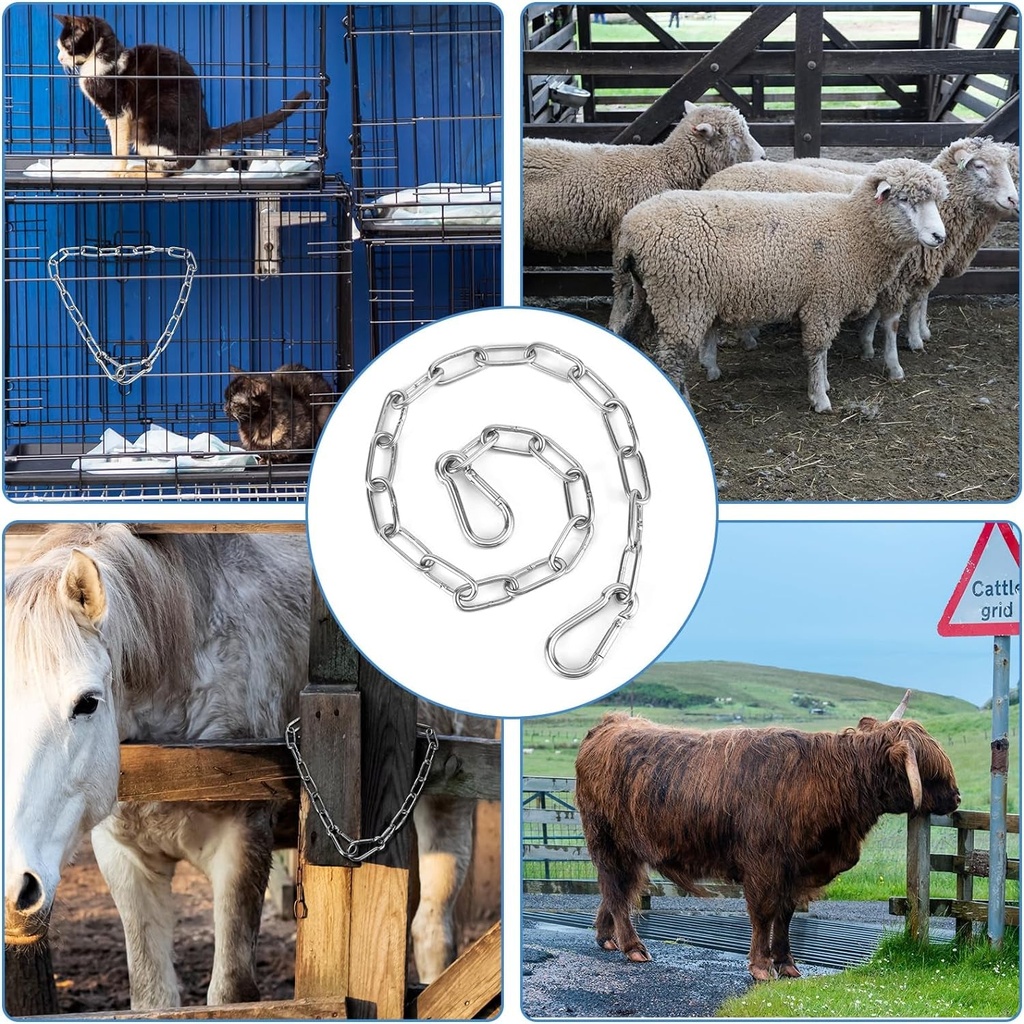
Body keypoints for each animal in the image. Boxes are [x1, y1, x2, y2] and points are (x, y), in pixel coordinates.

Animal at [4, 523, 491, 1008]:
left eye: (87, 702)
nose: (14, 888)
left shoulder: (240, 846)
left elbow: (230, 992)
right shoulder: (124, 858)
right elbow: (153, 997)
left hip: (448, 804)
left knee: (432, 928)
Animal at [573, 693, 960, 982]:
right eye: (931, 769)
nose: (957, 798)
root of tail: (611, 722)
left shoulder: (798, 868)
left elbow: (785, 914)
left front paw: (786, 963)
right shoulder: (764, 862)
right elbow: (763, 912)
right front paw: (761, 966)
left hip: (627, 848)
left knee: (619, 888)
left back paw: (605, 937)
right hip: (607, 841)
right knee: (616, 890)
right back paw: (632, 946)